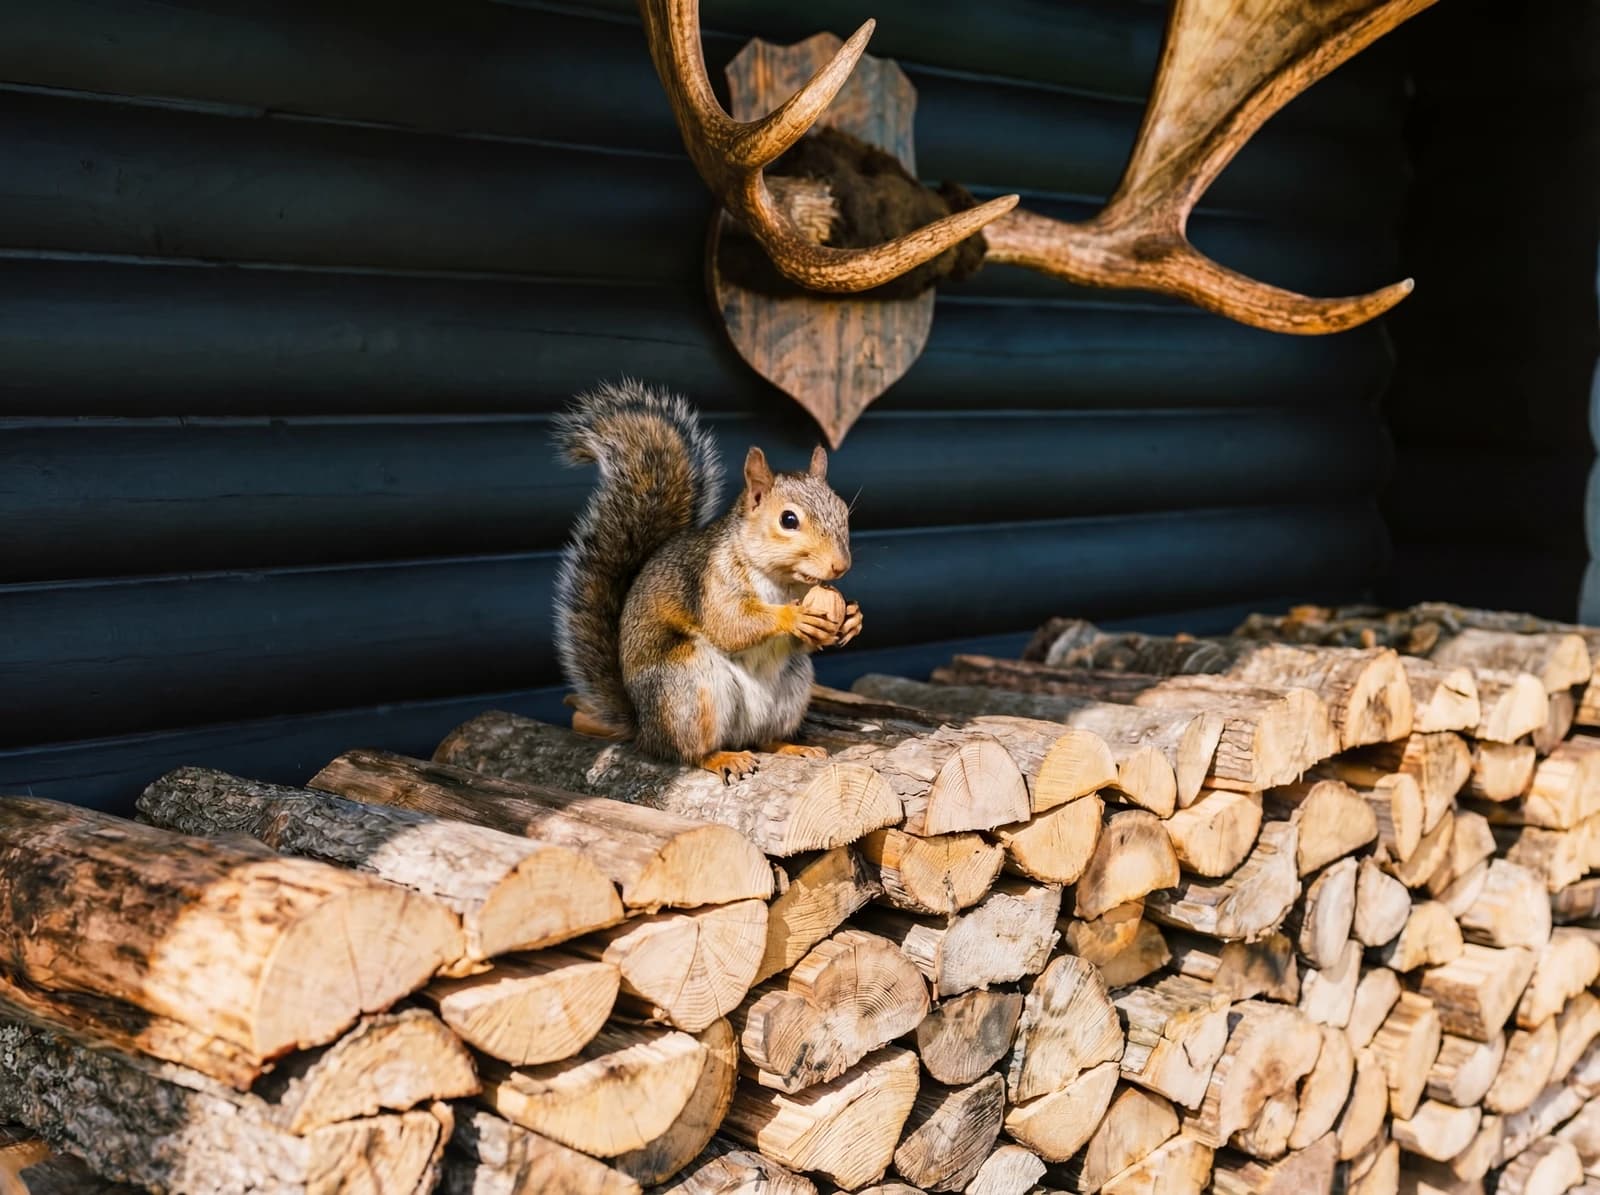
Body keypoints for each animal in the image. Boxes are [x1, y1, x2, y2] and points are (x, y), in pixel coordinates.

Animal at [554, 380, 863, 781]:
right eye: (788, 520)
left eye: (842, 510)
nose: (840, 566)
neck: (783, 582)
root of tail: (644, 728)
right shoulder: (710, 581)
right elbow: (729, 623)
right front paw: (792, 616)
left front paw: (852, 619)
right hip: (688, 688)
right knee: (689, 751)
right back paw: (720, 757)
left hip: (791, 689)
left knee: (764, 738)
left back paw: (790, 746)